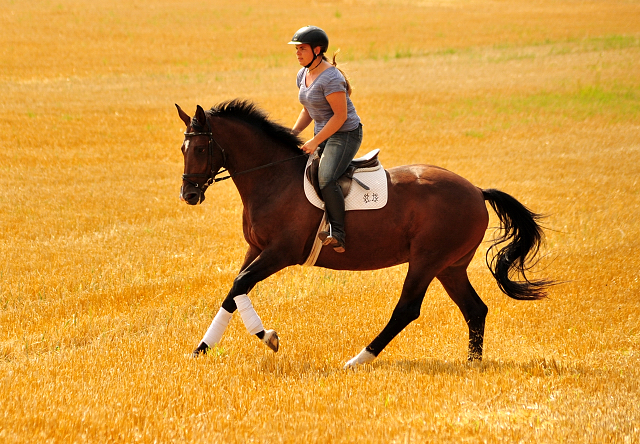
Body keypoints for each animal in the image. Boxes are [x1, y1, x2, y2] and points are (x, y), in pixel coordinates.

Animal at [175, 99, 552, 368]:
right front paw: (202, 348)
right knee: (475, 309)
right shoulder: (256, 249)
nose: (189, 194)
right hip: (450, 267)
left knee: (407, 309)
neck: (273, 178)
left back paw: (359, 359)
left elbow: (240, 285)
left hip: (427, 261)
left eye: (200, 149)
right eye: (183, 149)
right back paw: (473, 363)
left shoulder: (281, 252)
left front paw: (267, 337)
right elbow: (234, 291)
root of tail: (476, 190)